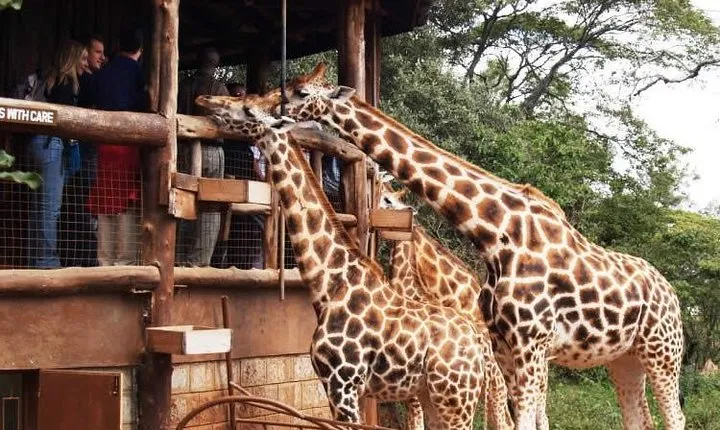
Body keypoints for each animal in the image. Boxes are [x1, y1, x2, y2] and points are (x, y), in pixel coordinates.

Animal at [195, 94, 487, 430]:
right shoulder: (334, 385)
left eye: (246, 109)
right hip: (433, 395)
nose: (205, 100)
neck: (329, 284)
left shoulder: (343, 383)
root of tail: (477, 345)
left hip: (455, 398)